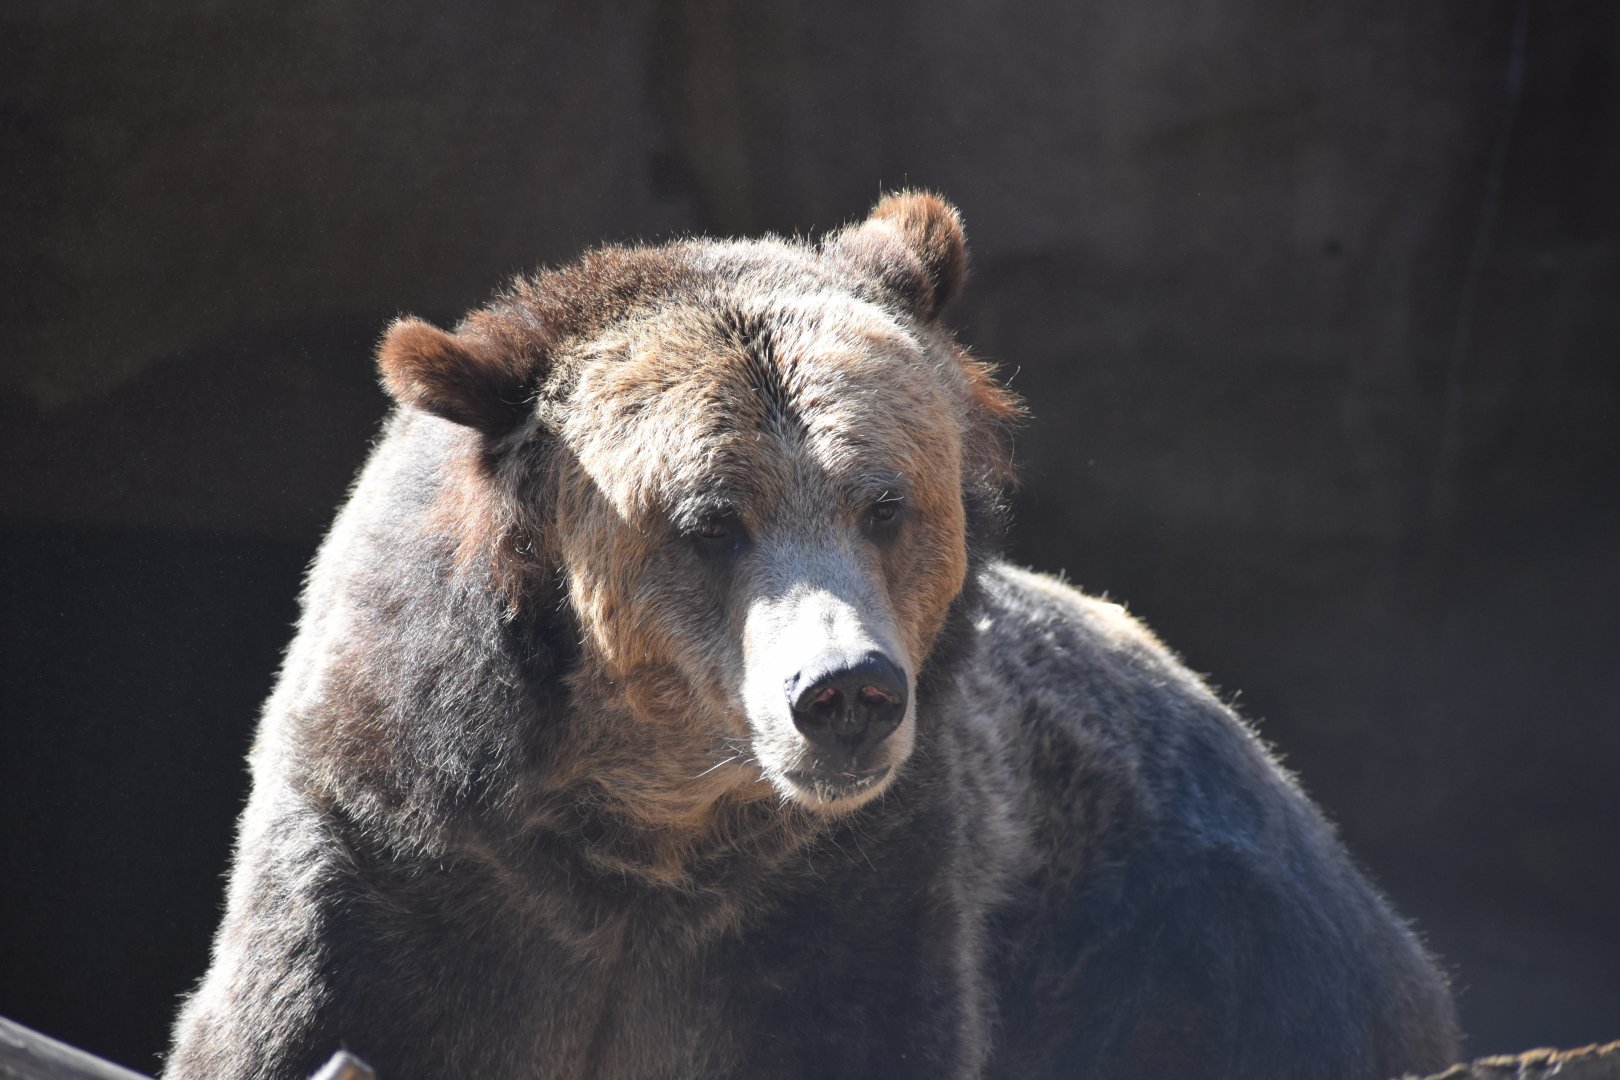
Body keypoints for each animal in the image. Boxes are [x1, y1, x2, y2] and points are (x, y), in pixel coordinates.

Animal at [166, 192, 1460, 1080]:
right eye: (709, 521)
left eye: (884, 504)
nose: (845, 692)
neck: (641, 828)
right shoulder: (401, 855)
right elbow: (295, 1019)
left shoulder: (850, 894)